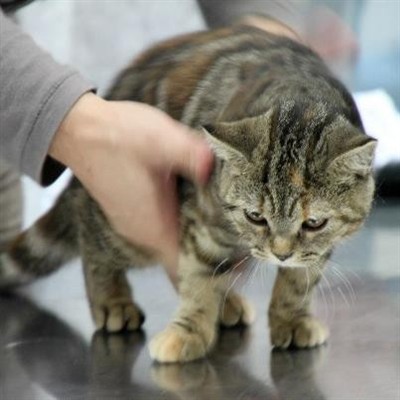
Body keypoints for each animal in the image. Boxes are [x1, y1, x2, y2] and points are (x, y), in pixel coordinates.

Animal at [0, 23, 376, 364]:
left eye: (314, 223)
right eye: (255, 217)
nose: (280, 254)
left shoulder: (317, 248)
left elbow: (298, 283)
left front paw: (293, 318)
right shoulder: (202, 220)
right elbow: (197, 279)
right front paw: (188, 331)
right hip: (121, 225)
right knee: (93, 242)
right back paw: (112, 300)